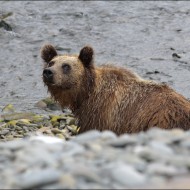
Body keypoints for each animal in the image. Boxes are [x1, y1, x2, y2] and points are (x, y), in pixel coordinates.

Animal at [40, 43, 190, 134]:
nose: (48, 72)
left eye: (66, 66)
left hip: (162, 121)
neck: (86, 93)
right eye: (51, 62)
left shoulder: (100, 114)